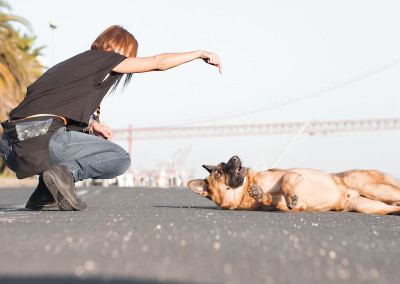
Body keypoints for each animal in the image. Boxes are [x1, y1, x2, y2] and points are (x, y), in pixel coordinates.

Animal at [187, 156, 400, 214]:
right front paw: (261, 194)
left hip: (372, 188)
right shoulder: (296, 207)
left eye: (224, 163)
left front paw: (289, 195)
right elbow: (272, 199)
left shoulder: (291, 175)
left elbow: (286, 185)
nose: (235, 157)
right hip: (369, 206)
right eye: (219, 173)